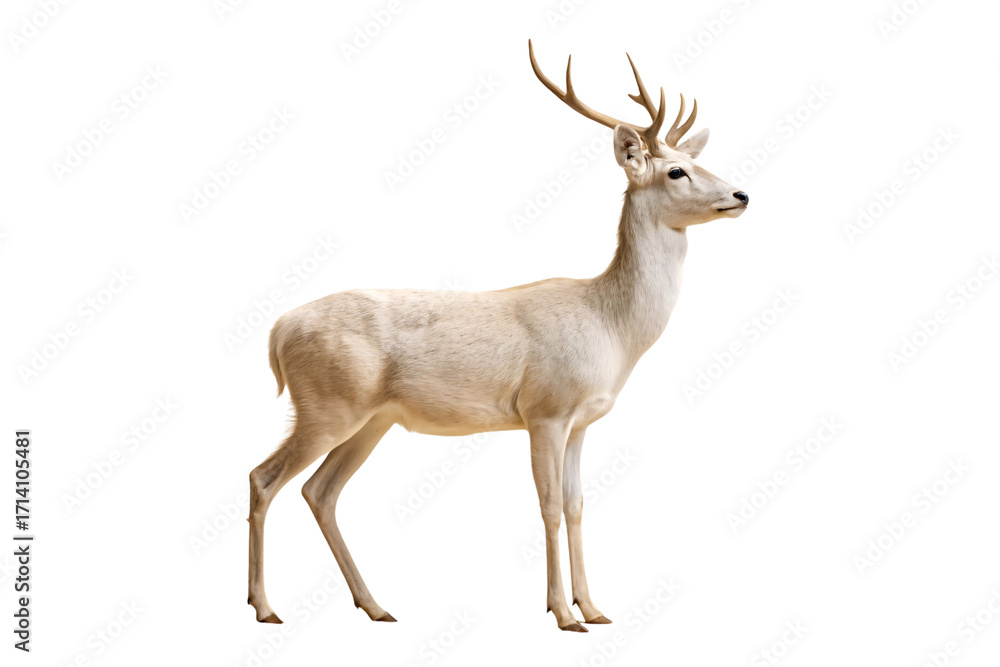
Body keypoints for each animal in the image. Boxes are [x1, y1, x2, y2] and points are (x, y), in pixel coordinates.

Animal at [247, 39, 749, 633]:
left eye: (698, 161)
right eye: (675, 171)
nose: (741, 194)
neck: (610, 327)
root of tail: (277, 332)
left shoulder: (582, 422)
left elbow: (577, 505)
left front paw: (595, 608)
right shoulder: (545, 410)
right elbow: (549, 505)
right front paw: (562, 614)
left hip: (372, 419)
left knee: (320, 491)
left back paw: (375, 606)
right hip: (327, 405)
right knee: (264, 478)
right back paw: (265, 607)